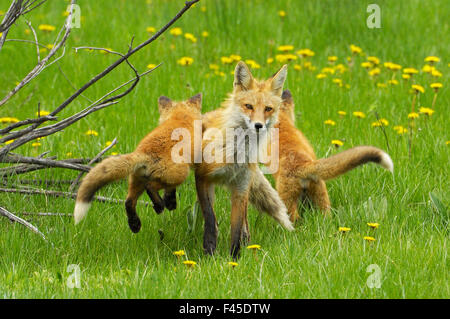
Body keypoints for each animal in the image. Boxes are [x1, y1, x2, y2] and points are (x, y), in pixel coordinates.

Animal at [74, 94, 202, 232]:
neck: (180, 117)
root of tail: (144, 152)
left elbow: (169, 192)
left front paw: (171, 202)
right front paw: (170, 202)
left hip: (136, 181)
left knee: (129, 201)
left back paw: (135, 224)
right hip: (178, 175)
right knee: (150, 187)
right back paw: (159, 206)